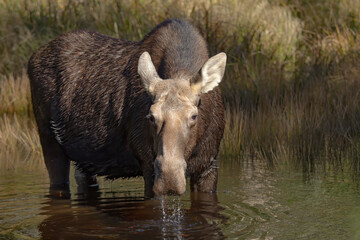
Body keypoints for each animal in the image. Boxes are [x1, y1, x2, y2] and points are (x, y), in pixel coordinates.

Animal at [28, 18, 226, 198]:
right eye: (151, 116)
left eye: (193, 116)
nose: (169, 179)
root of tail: (32, 57)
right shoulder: (148, 167)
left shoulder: (209, 166)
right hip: (48, 139)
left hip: (84, 159)